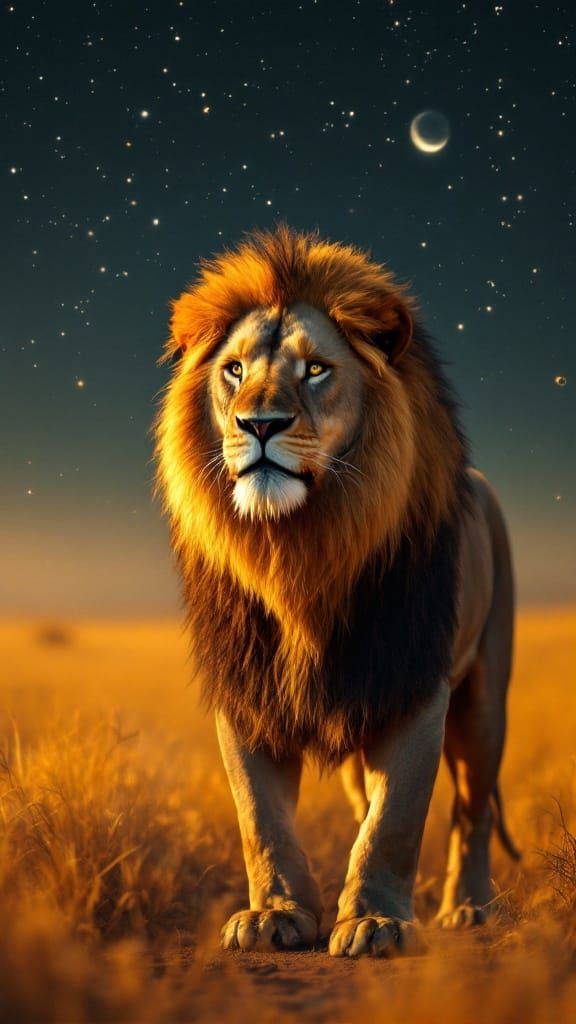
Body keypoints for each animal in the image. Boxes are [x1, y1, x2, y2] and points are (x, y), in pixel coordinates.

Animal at [155, 224, 519, 958]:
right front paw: (275, 913)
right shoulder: (248, 688)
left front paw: (376, 922)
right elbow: (261, 819)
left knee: (471, 811)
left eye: (315, 370)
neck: (300, 550)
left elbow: (396, 820)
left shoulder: (413, 685)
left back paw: (469, 907)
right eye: (234, 370)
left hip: (484, 699)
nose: (258, 424)